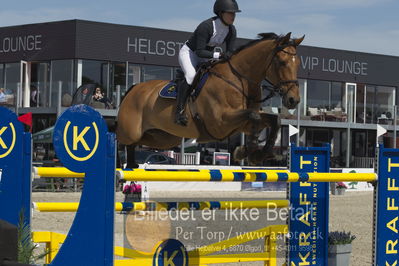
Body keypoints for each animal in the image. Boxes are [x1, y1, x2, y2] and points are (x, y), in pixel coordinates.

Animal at [117, 32, 304, 167]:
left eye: (298, 64)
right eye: (282, 62)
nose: (293, 100)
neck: (239, 79)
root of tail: (133, 89)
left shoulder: (239, 123)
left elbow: (273, 120)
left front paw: (258, 154)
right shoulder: (220, 123)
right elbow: (255, 117)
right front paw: (247, 151)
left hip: (163, 137)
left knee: (137, 144)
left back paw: (132, 165)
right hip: (131, 132)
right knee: (123, 142)